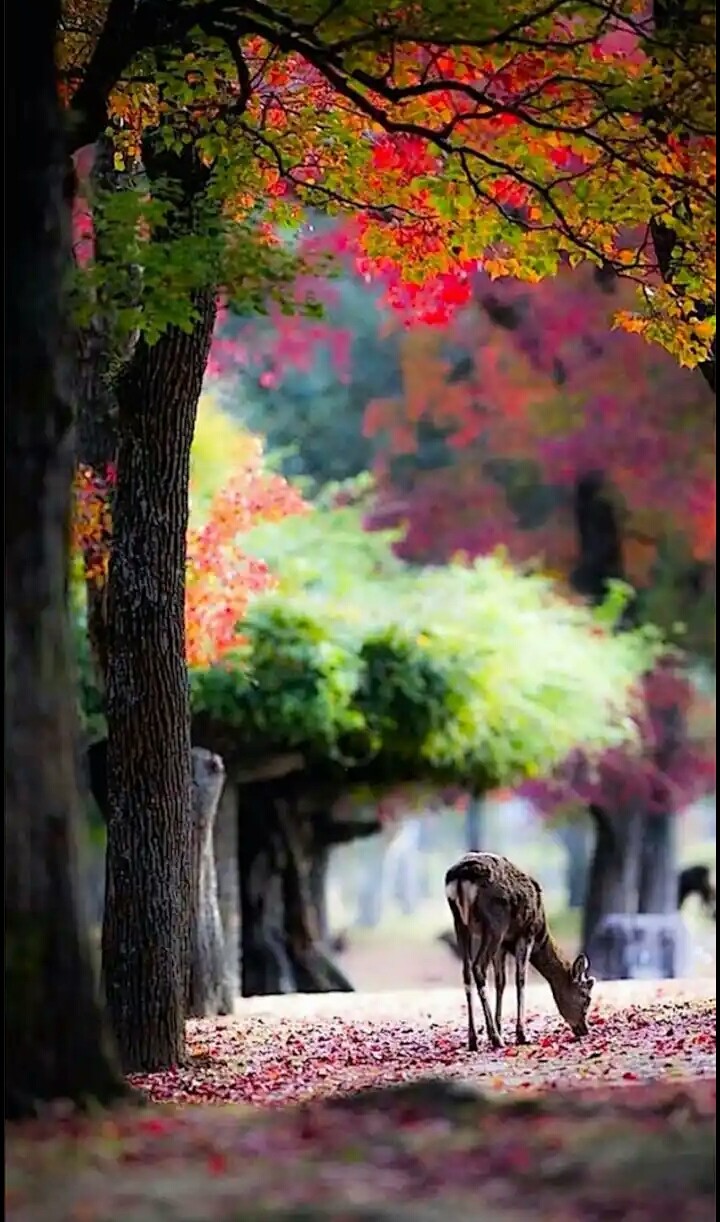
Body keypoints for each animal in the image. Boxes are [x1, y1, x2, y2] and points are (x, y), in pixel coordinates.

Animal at [445, 852, 595, 1051]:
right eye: (586, 997)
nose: (584, 1030)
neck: (542, 934)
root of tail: (461, 877)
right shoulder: (526, 934)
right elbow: (520, 979)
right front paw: (521, 1035)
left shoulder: (503, 946)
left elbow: (501, 982)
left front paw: (500, 1028)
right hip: (495, 923)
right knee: (478, 967)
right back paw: (496, 1039)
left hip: (460, 924)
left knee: (466, 972)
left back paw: (474, 1039)